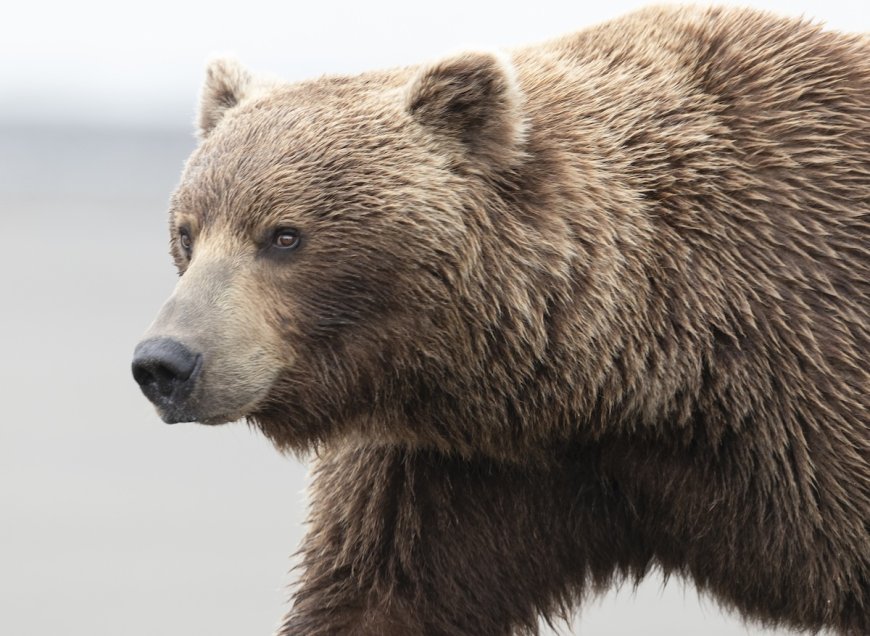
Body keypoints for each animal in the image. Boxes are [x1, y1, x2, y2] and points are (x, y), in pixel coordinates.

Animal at [132, 5, 869, 635]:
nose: (165, 362)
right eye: (188, 233)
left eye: (284, 236)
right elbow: (377, 593)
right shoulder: (461, 469)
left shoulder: (812, 389)